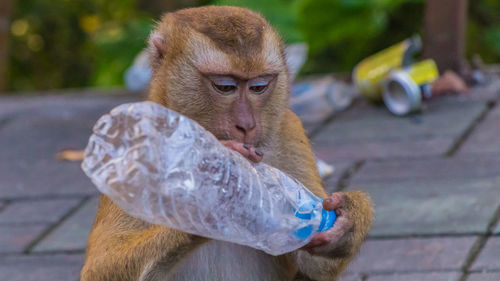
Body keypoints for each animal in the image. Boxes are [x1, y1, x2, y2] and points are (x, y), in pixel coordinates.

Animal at [81, 6, 372, 280]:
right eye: (225, 87)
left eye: (258, 87)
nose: (246, 125)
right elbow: (100, 265)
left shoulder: (289, 129)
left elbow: (313, 259)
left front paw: (347, 220)